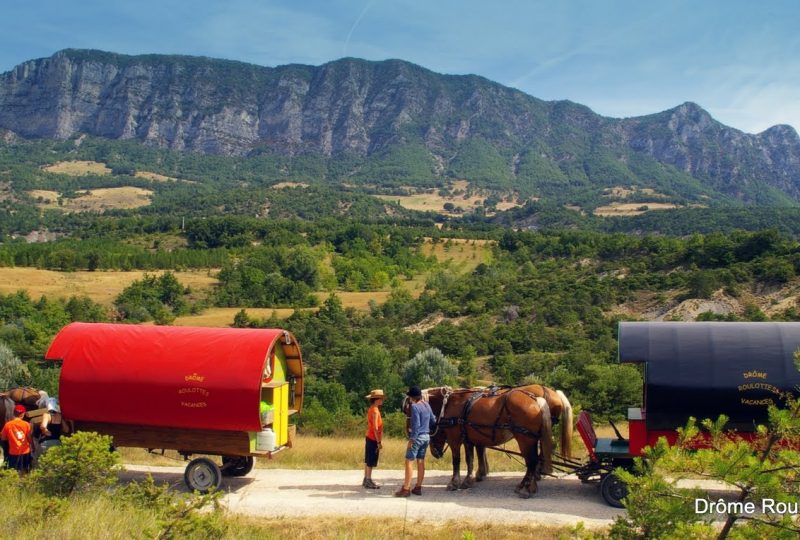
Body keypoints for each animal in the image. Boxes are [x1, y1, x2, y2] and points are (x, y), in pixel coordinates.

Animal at [422, 388, 552, 498]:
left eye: (429, 428)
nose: (435, 453)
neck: (450, 404)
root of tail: (536, 400)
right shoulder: (468, 440)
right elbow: (470, 460)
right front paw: (468, 481)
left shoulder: (455, 440)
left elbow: (456, 461)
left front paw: (454, 483)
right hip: (531, 440)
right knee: (533, 462)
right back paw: (526, 486)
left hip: (525, 440)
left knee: (532, 462)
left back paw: (527, 488)